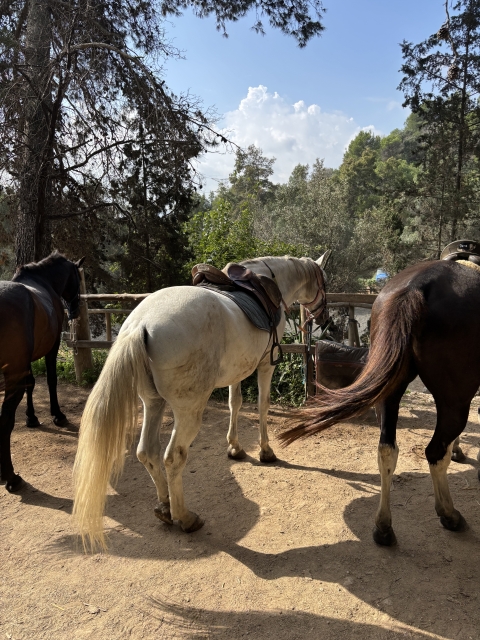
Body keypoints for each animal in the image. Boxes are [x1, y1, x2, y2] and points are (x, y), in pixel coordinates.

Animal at [0, 251, 84, 492]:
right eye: (77, 278)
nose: (75, 309)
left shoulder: (26, 362)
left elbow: (32, 383)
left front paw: (32, 417)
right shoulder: (52, 346)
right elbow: (50, 380)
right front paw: (58, 415)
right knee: (4, 422)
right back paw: (10, 478)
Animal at [73, 254, 328, 550]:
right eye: (324, 282)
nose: (324, 318)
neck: (270, 283)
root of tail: (140, 324)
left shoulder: (237, 371)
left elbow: (234, 403)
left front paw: (235, 448)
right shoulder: (266, 364)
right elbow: (262, 406)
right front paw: (266, 451)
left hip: (153, 403)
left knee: (146, 451)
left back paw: (165, 508)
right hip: (189, 411)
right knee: (172, 457)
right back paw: (185, 518)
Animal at [280, 259, 480, 546]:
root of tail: (417, 285)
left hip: (391, 389)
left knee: (387, 450)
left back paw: (384, 526)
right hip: (454, 399)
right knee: (435, 451)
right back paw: (449, 515)